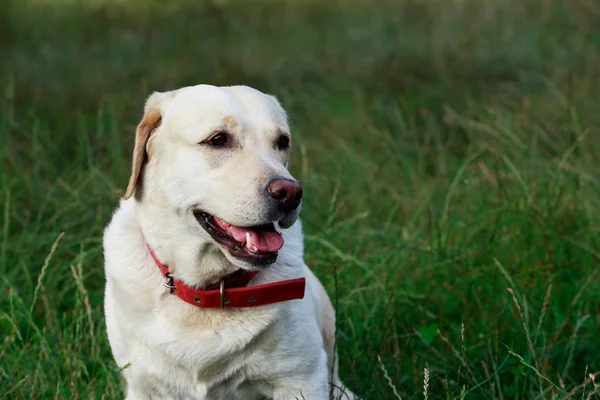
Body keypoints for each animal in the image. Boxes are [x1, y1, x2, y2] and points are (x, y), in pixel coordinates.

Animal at [103, 84, 356, 400]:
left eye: (282, 142)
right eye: (218, 140)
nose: (290, 193)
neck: (210, 290)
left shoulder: (302, 380)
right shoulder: (143, 386)